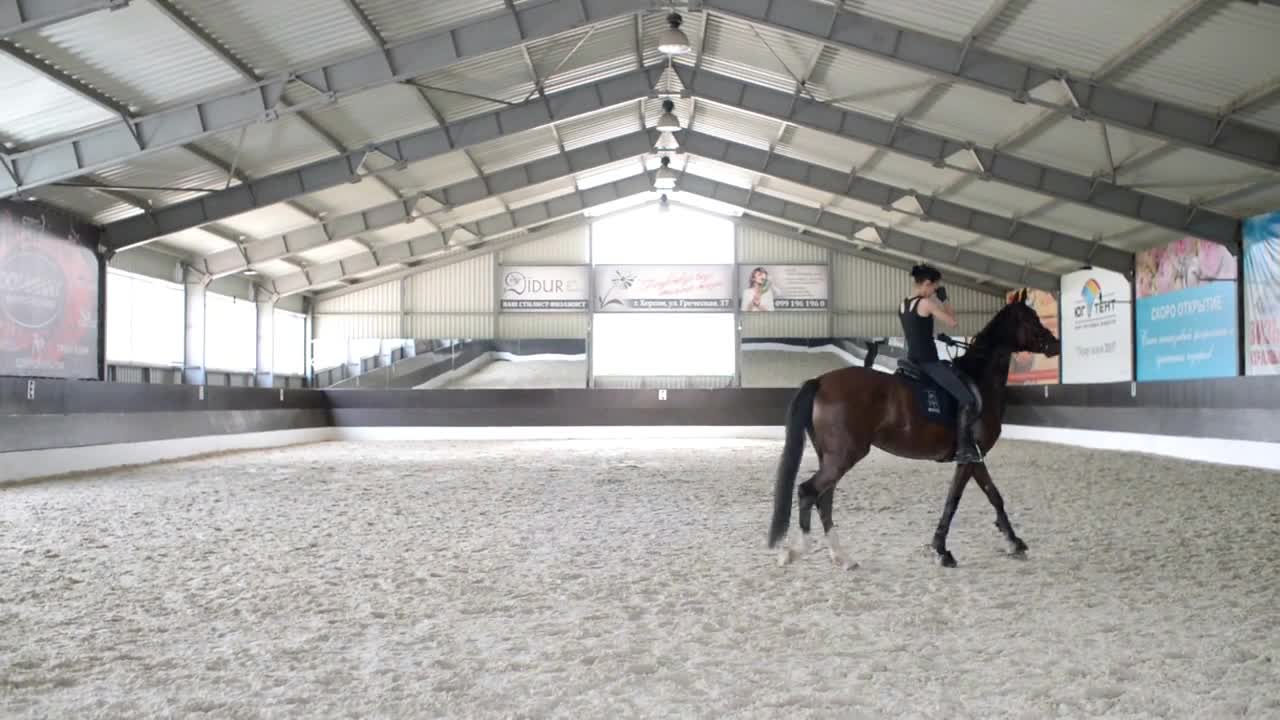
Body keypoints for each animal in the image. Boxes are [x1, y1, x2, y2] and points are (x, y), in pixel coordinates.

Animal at [768, 288, 1059, 568]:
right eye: (1030, 319)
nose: (1055, 345)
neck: (980, 379)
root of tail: (820, 381)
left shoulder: (975, 458)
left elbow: (993, 495)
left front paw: (1013, 542)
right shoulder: (970, 457)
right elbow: (956, 500)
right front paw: (941, 550)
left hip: (831, 457)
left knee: (824, 498)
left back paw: (842, 557)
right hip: (844, 455)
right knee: (808, 492)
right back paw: (797, 551)